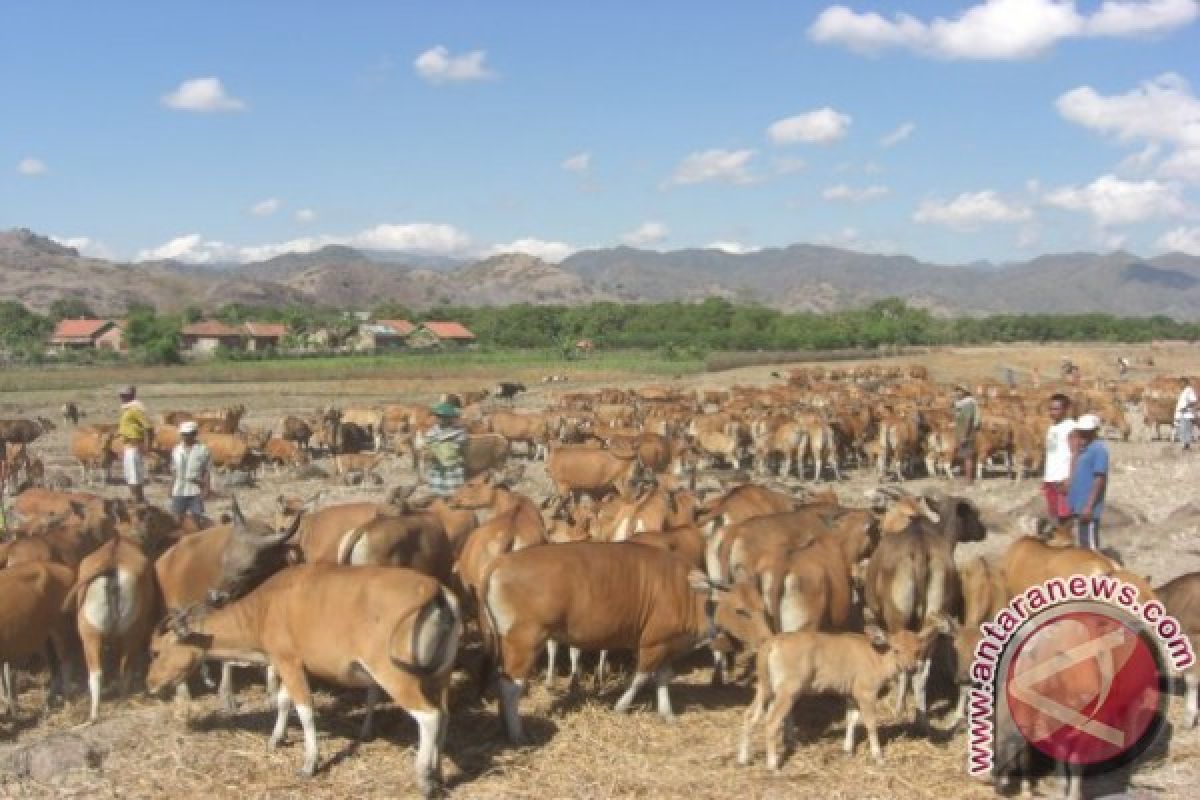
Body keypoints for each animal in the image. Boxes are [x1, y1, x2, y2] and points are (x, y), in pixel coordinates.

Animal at [141, 563, 458, 796]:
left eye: (156, 651)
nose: (150, 685)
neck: (267, 606)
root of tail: (434, 589)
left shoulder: (288, 661)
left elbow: (304, 710)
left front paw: (309, 763)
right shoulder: (287, 665)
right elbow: (284, 701)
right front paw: (275, 739)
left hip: (394, 675)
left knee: (429, 716)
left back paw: (424, 778)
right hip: (440, 675)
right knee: (444, 715)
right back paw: (439, 772)